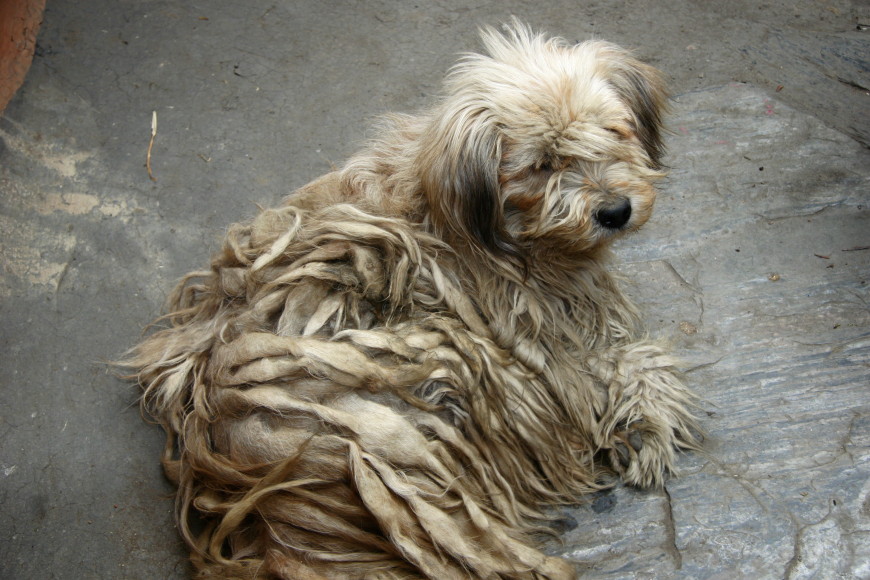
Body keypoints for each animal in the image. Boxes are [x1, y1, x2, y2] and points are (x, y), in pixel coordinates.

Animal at [126, 20, 704, 576]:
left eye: (614, 131)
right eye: (542, 164)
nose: (615, 211)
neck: (481, 222)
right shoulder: (535, 339)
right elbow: (628, 364)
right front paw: (646, 415)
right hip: (448, 365)